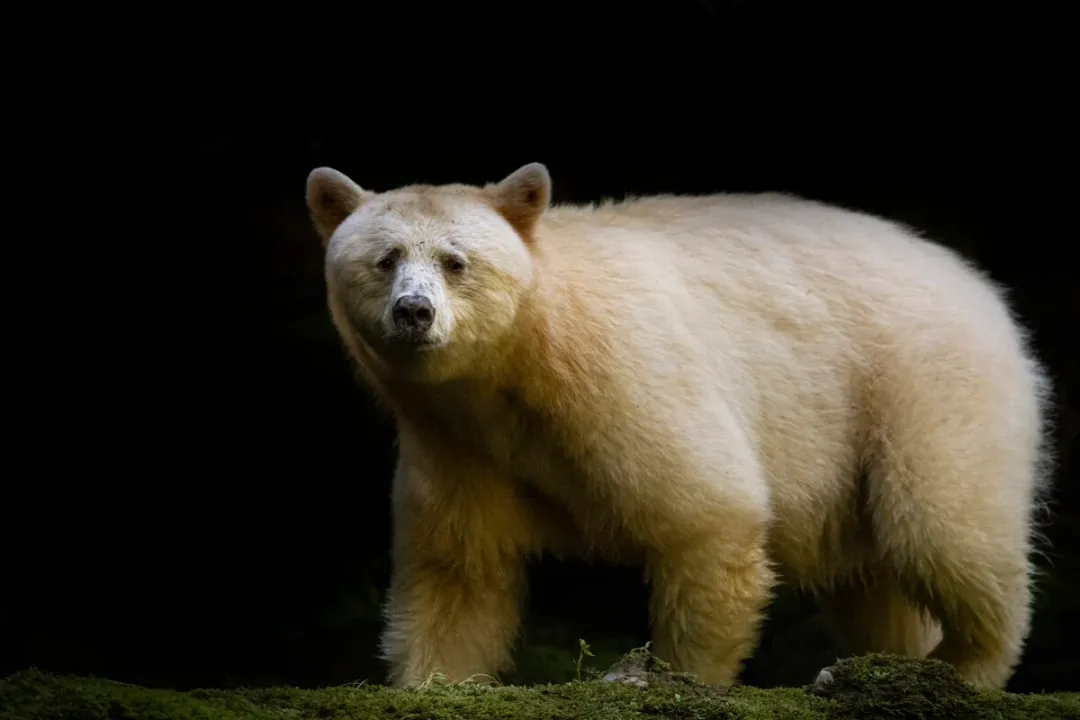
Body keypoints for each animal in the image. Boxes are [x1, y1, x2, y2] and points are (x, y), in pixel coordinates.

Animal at [304, 161, 1052, 691]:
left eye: (456, 261)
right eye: (384, 259)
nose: (414, 312)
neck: (520, 363)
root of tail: (982, 288)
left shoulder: (624, 374)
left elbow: (707, 511)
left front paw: (663, 674)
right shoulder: (456, 444)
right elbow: (457, 571)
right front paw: (434, 680)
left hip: (919, 389)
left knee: (939, 527)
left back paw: (964, 665)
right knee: (879, 585)